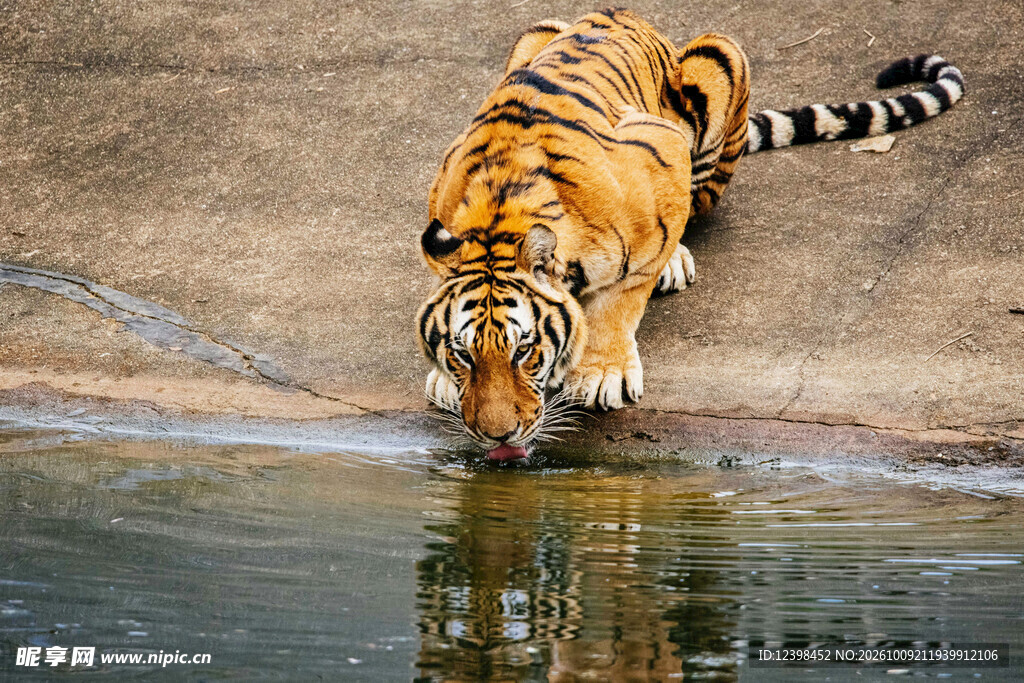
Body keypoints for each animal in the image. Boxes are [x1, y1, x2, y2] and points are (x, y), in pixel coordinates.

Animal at [415, 8, 964, 461]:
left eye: (524, 351)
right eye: (463, 354)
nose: (497, 436)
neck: (499, 215)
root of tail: (627, 16)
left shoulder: (659, 148)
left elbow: (623, 296)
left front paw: (603, 372)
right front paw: (444, 381)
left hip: (718, 61)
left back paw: (675, 260)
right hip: (534, 32)